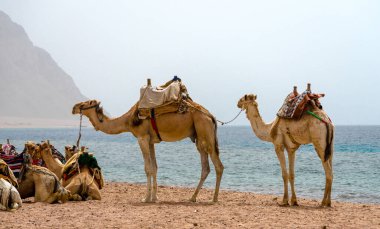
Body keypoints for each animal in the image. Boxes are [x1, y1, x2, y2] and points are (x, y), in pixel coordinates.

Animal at [71, 98, 223, 202]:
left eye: (86, 103)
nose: (74, 107)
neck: (128, 120)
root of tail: (211, 116)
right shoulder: (151, 141)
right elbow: (154, 167)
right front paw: (155, 197)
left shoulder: (142, 138)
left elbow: (147, 168)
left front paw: (146, 198)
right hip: (199, 137)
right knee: (206, 168)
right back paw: (192, 197)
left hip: (205, 131)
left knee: (218, 166)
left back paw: (214, 198)